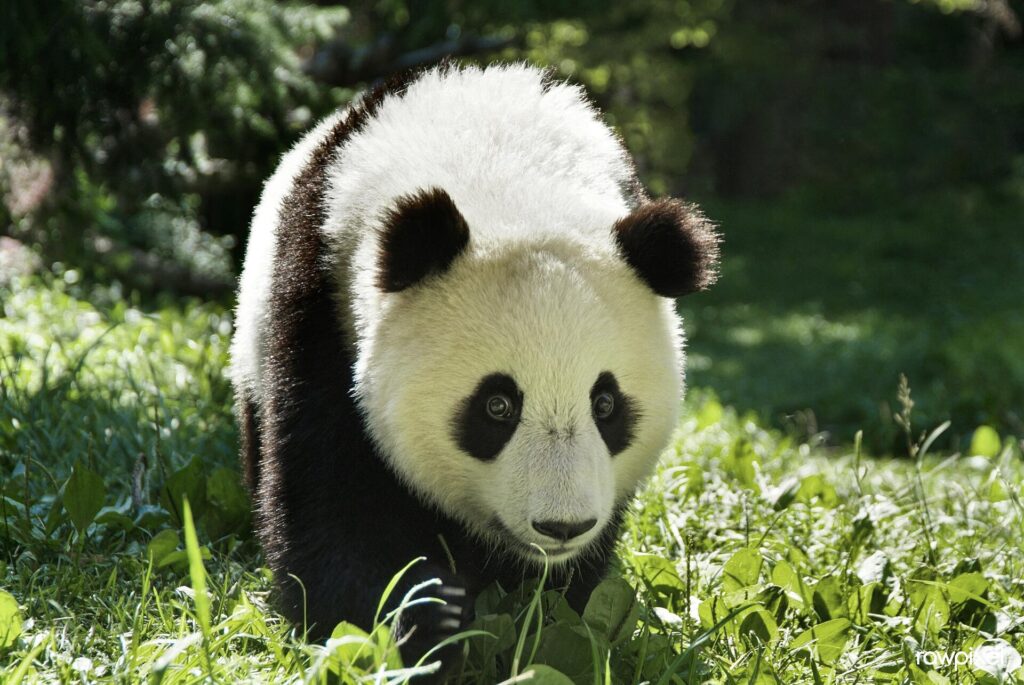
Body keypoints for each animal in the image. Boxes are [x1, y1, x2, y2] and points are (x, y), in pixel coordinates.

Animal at [229, 62, 719, 669]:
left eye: (606, 404)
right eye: (497, 405)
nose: (562, 525)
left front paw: (546, 618)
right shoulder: (319, 307)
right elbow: (332, 503)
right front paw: (419, 619)